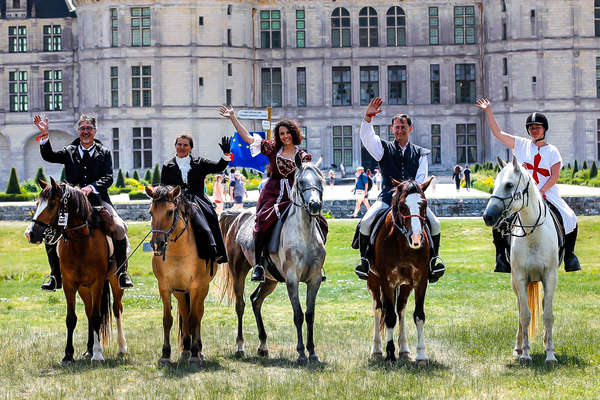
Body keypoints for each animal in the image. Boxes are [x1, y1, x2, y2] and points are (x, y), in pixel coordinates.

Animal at [24, 177, 127, 362]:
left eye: (52, 204)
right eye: (36, 203)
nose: (30, 234)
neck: (80, 240)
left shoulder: (97, 283)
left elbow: (97, 317)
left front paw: (98, 355)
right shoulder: (69, 283)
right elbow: (71, 318)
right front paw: (68, 354)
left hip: (114, 282)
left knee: (116, 309)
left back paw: (121, 347)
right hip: (84, 288)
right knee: (89, 312)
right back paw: (89, 349)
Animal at [145, 186, 218, 368]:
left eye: (170, 212)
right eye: (150, 212)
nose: (157, 244)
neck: (178, 250)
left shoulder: (196, 286)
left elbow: (194, 318)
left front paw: (195, 354)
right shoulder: (165, 286)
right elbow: (168, 319)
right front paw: (165, 354)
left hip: (201, 289)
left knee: (198, 313)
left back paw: (197, 349)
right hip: (180, 291)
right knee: (185, 313)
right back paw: (185, 348)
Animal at [217, 158, 326, 364]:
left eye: (321, 181)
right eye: (301, 182)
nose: (315, 205)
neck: (304, 234)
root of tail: (238, 215)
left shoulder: (314, 280)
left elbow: (310, 314)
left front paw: (313, 352)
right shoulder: (292, 280)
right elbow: (298, 315)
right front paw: (301, 353)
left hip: (270, 280)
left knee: (256, 301)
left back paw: (263, 345)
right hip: (238, 271)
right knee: (241, 304)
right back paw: (240, 346)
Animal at [368, 178, 434, 366]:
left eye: (424, 204)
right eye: (403, 206)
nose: (417, 238)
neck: (403, 243)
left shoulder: (420, 280)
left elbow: (419, 316)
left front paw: (421, 355)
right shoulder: (386, 281)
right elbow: (389, 316)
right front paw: (390, 353)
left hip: (405, 285)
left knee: (401, 309)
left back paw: (404, 349)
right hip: (373, 280)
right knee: (378, 309)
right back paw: (377, 350)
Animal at [480, 156, 560, 366]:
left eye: (509, 185)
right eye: (494, 186)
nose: (487, 216)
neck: (533, 234)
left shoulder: (550, 276)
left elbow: (548, 315)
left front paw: (550, 354)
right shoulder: (520, 277)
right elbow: (525, 316)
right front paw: (525, 354)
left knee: (542, 306)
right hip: (515, 282)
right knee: (520, 310)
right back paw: (518, 347)